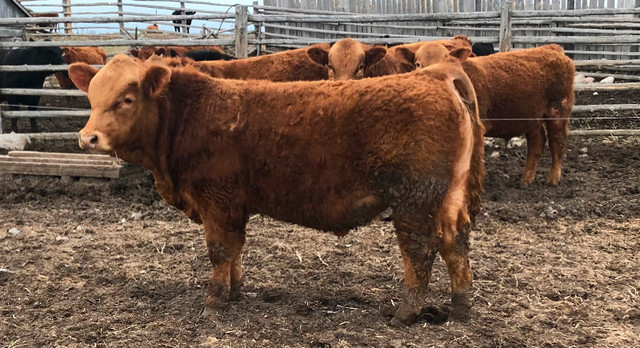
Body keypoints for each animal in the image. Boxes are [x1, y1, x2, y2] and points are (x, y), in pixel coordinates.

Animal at [69, 55, 484, 328]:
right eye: (91, 97)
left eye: (126, 99)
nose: (88, 138)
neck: (188, 116)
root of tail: (435, 74)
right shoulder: (233, 205)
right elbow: (235, 248)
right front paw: (234, 291)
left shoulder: (217, 200)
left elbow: (219, 251)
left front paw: (214, 303)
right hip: (448, 199)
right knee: (455, 244)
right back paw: (460, 309)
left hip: (414, 199)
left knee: (420, 249)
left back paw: (405, 313)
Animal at [416, 44, 576, 186]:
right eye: (418, 64)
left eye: (446, 61)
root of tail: (552, 48)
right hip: (532, 118)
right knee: (537, 142)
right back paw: (525, 180)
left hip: (558, 113)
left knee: (557, 143)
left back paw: (552, 180)